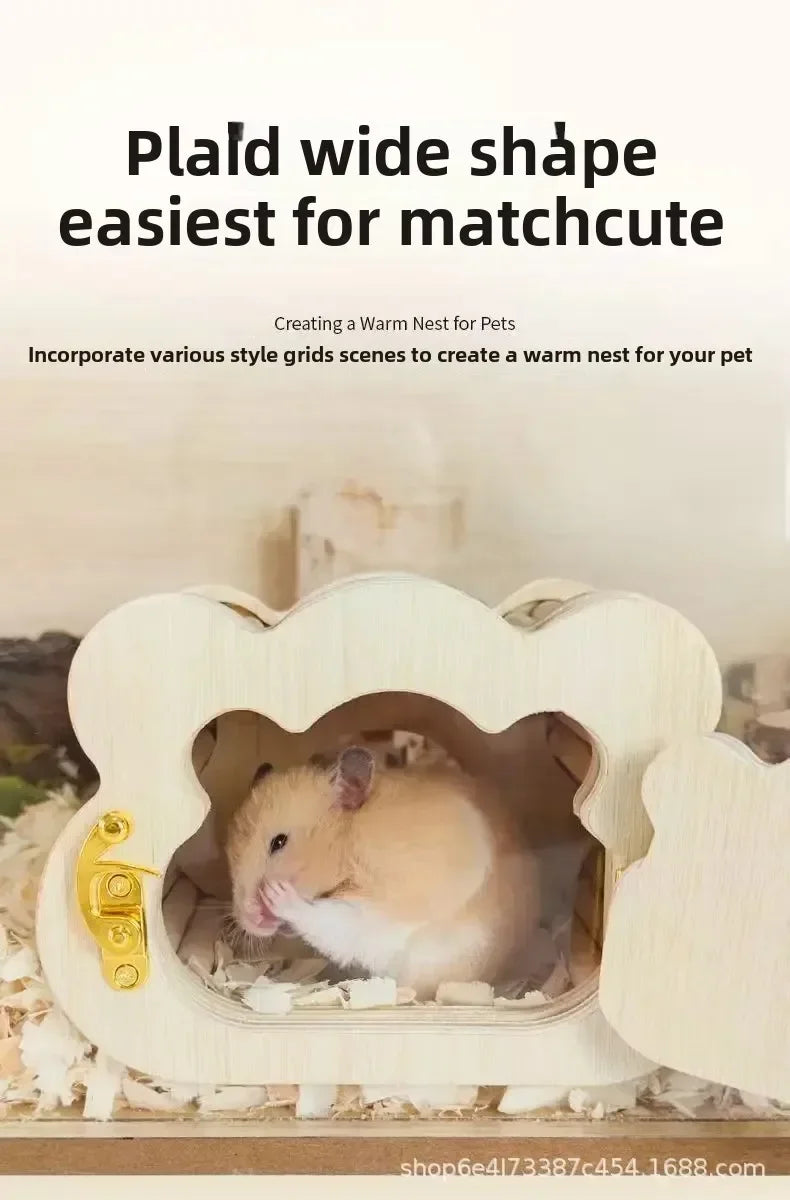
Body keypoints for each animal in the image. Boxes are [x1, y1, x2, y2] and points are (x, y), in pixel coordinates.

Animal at [226, 746, 540, 999]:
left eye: (279, 842)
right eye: (230, 854)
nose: (251, 920)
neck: (347, 848)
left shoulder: (381, 904)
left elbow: (331, 920)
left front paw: (277, 894)